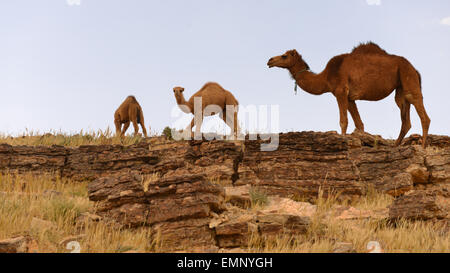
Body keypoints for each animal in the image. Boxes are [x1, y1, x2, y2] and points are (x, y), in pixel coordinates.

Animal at [266, 42, 430, 147]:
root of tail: (415, 69)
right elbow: (359, 124)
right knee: (405, 117)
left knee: (422, 114)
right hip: (400, 87)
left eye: (284, 56)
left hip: (408, 77)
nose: (269, 60)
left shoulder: (340, 91)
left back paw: (422, 147)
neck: (325, 77)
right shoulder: (350, 98)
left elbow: (343, 121)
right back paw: (395, 146)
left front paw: (343, 142)